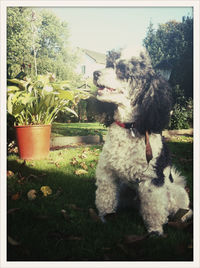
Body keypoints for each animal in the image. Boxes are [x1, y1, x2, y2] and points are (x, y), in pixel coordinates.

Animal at [93, 47, 192, 234]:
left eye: (123, 69)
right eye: (109, 63)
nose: (95, 73)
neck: (129, 127)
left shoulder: (152, 180)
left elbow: (153, 208)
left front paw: (155, 231)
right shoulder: (107, 173)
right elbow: (105, 197)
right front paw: (105, 216)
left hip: (176, 193)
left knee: (182, 209)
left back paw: (181, 217)